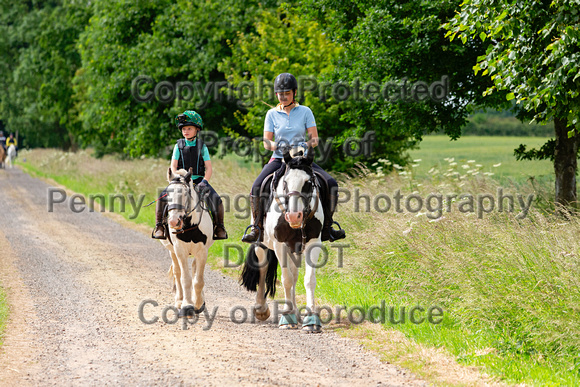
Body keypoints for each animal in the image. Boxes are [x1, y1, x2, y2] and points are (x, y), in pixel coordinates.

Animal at [159, 168, 213, 316]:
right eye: (167, 194)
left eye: (185, 193)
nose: (173, 222)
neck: (189, 225)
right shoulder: (180, 251)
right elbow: (185, 279)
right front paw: (187, 305)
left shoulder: (202, 252)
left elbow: (198, 280)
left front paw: (198, 303)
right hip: (172, 251)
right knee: (177, 273)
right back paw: (179, 300)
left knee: (194, 268)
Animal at [240, 149, 326, 334]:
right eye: (285, 183)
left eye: (308, 182)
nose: (294, 216)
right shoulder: (280, 244)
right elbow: (286, 279)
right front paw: (286, 317)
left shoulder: (313, 242)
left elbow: (309, 279)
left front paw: (311, 320)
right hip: (261, 244)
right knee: (263, 268)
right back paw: (261, 309)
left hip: (295, 248)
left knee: (294, 275)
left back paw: (296, 313)